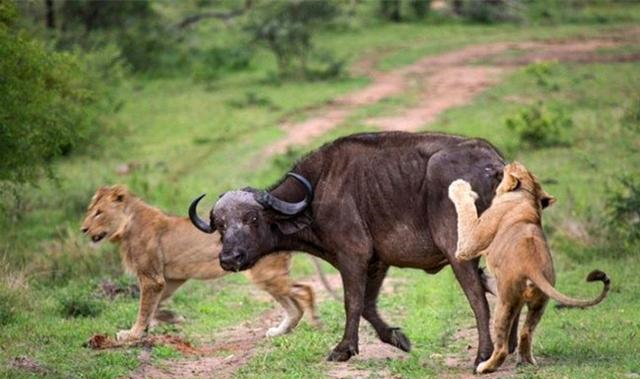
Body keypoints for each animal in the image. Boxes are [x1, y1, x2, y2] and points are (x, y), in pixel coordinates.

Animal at [82, 186, 320, 342]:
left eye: (99, 213)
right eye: (90, 210)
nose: (83, 229)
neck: (126, 227)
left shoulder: (151, 278)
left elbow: (143, 308)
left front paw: (133, 334)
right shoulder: (170, 279)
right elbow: (153, 307)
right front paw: (169, 318)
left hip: (265, 274)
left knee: (305, 291)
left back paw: (316, 324)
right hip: (267, 277)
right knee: (294, 306)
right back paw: (280, 331)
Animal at [189, 132, 504, 366]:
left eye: (252, 218)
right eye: (220, 226)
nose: (229, 258)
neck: (317, 191)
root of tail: (494, 165)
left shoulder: (352, 256)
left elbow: (351, 302)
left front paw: (343, 349)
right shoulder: (377, 262)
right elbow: (367, 305)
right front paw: (397, 338)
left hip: (460, 254)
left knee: (478, 299)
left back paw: (483, 356)